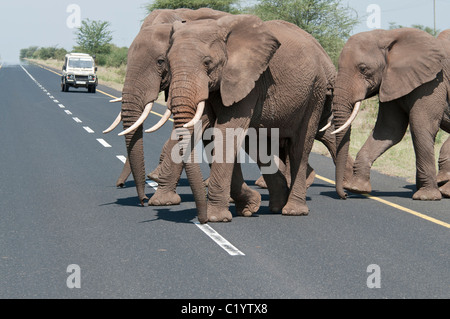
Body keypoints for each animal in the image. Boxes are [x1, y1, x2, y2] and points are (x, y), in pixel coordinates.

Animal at [144, 15, 338, 222]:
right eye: (166, 63)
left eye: (207, 63)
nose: (201, 219)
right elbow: (213, 133)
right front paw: (248, 207)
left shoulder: (248, 81)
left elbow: (226, 132)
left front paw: (217, 218)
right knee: (259, 146)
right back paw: (276, 205)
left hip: (315, 92)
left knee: (299, 146)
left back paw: (293, 211)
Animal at [330, 28, 450, 202]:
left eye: (363, 69)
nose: (344, 195)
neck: (388, 35)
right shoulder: (392, 81)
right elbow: (388, 130)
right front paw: (357, 188)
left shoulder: (433, 82)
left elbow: (421, 126)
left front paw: (426, 197)